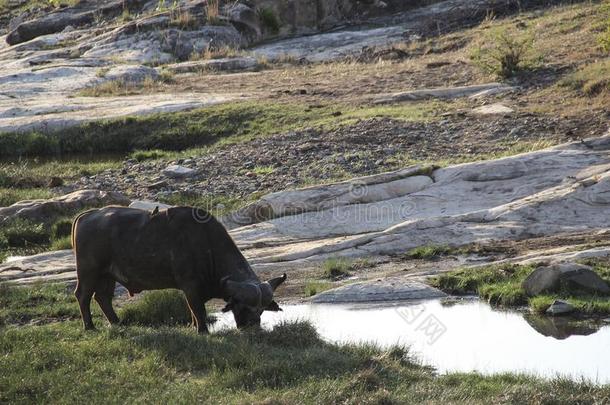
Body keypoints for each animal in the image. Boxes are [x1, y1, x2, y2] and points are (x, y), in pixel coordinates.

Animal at [72, 205, 288, 332]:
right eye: (242, 306)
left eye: (261, 310)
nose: (251, 326)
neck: (206, 244)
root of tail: (86, 215)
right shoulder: (190, 286)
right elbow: (198, 310)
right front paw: (202, 331)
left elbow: (193, 311)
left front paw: (193, 327)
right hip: (89, 271)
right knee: (83, 295)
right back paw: (89, 326)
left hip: (107, 275)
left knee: (102, 297)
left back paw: (117, 323)